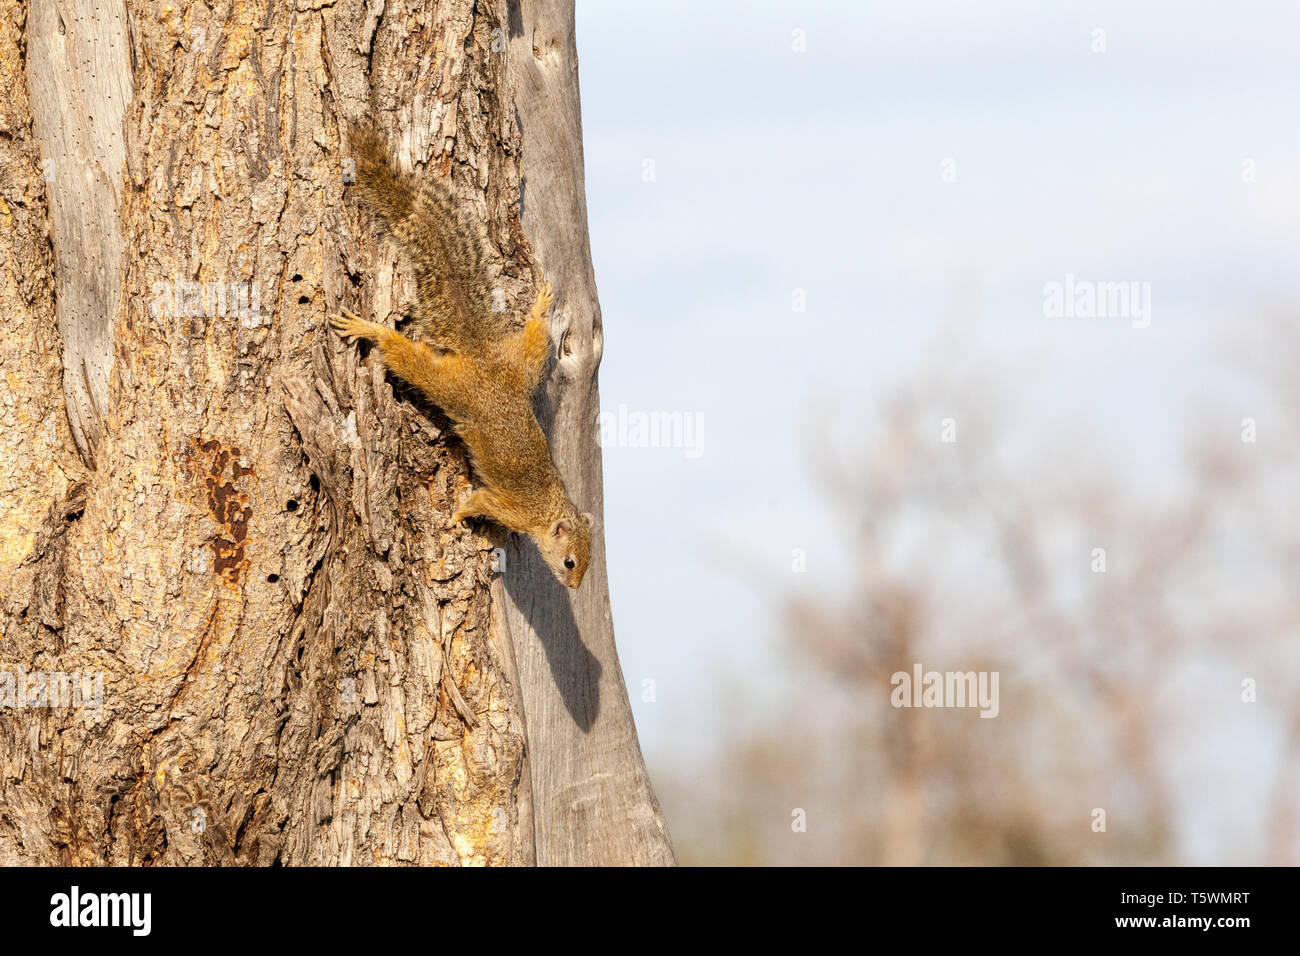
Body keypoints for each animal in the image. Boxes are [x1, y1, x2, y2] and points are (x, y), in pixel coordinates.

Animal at [328, 124, 593, 588]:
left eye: (589, 559)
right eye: (569, 562)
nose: (574, 587)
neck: (546, 509)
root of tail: (481, 357)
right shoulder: (505, 505)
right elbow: (476, 503)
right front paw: (455, 519)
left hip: (522, 368)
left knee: (536, 341)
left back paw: (541, 309)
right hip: (448, 384)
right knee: (406, 358)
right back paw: (369, 329)